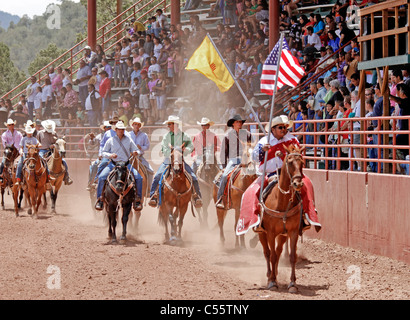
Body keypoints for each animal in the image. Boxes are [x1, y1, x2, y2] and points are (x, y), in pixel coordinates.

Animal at [260, 144, 304, 292]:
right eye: (289, 162)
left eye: (302, 163)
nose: (298, 183)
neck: (282, 202)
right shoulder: (270, 233)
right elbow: (272, 255)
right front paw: (273, 282)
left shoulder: (293, 232)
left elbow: (292, 257)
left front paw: (293, 283)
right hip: (262, 234)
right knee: (268, 253)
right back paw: (269, 276)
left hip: (283, 235)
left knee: (278, 252)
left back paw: (275, 273)